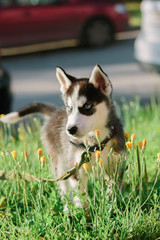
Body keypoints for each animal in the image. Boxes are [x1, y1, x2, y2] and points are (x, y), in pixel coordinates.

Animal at [0, 65, 125, 210]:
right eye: (69, 108)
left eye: (87, 106)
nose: (70, 130)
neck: (96, 143)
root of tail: (54, 113)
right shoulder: (76, 169)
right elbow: (80, 196)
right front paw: (82, 212)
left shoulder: (116, 168)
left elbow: (112, 192)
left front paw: (112, 207)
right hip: (60, 164)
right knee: (63, 189)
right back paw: (66, 207)